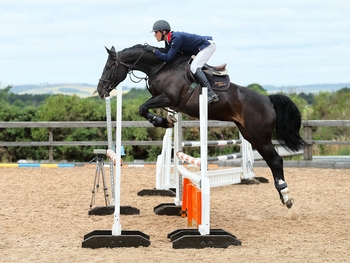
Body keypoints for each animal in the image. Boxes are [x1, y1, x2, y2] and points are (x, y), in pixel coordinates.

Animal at [96, 44, 306, 209]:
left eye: (108, 66)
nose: (100, 90)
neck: (161, 67)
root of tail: (267, 99)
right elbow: (147, 108)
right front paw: (168, 120)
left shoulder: (168, 98)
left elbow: (143, 107)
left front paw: (161, 121)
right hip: (249, 135)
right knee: (271, 160)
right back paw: (282, 195)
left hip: (260, 136)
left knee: (276, 160)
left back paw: (286, 196)